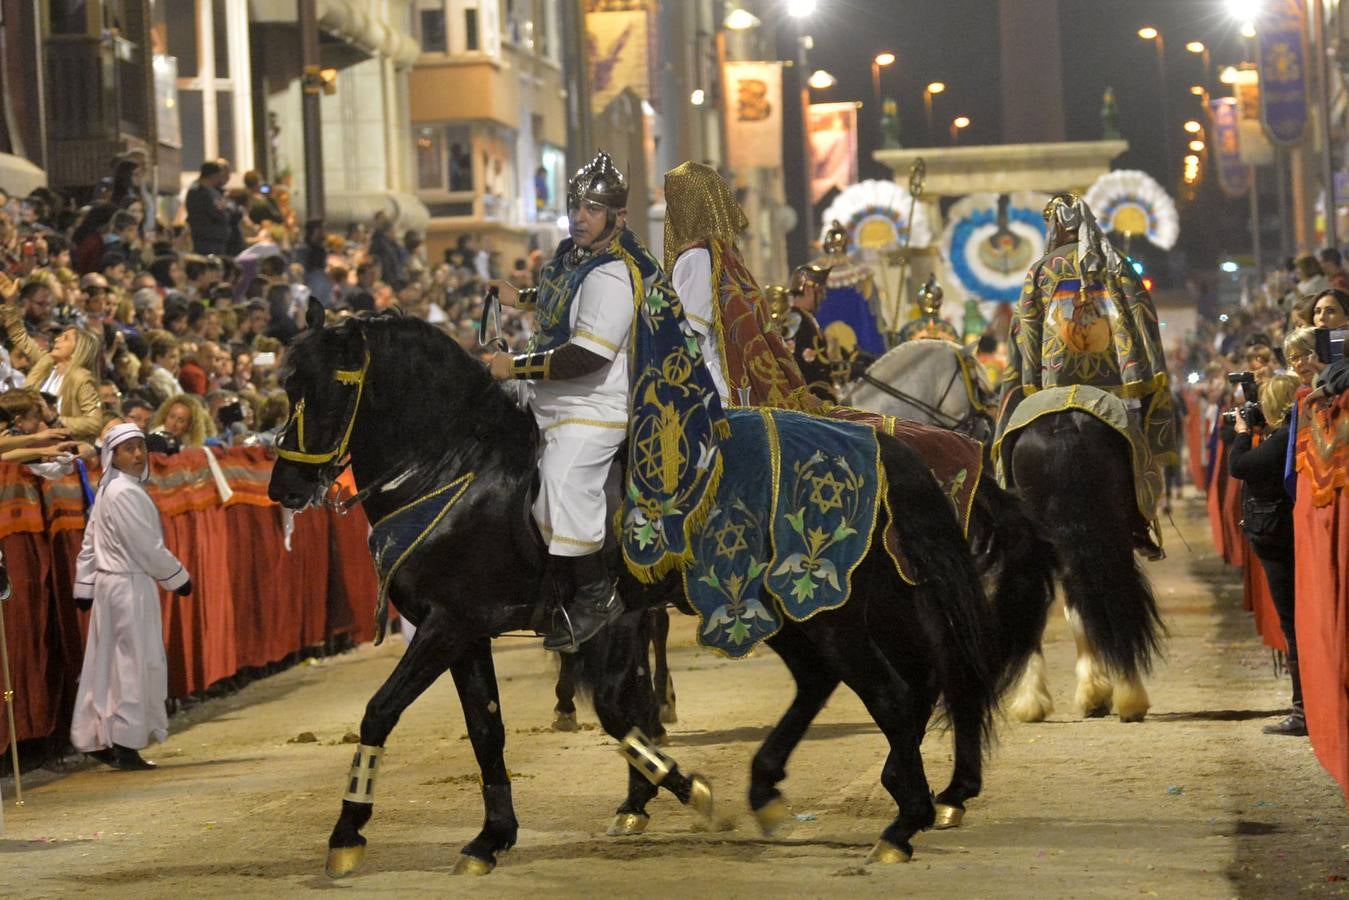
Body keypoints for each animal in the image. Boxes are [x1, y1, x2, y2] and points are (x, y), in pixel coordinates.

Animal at [271, 306, 1052, 874]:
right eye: (286, 386)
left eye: (335, 385)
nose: (285, 486)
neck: (460, 466)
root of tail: (887, 443)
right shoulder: (467, 629)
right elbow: (492, 730)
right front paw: (492, 837)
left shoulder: (453, 625)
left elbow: (381, 712)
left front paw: (347, 833)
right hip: (794, 611)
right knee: (844, 682)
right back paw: (784, 787)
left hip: (836, 608)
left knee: (901, 690)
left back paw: (907, 817)